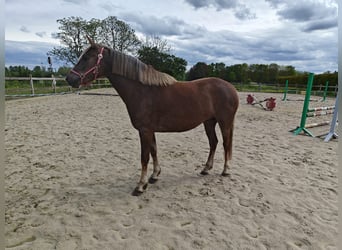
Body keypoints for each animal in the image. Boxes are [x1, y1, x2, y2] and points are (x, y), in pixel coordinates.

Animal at [65, 36, 239, 195]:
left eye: (86, 58)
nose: (69, 79)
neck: (143, 91)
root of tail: (230, 87)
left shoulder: (145, 130)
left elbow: (144, 157)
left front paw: (140, 186)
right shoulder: (150, 130)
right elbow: (154, 150)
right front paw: (154, 176)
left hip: (224, 122)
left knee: (226, 143)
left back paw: (226, 170)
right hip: (209, 122)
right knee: (214, 143)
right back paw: (206, 169)